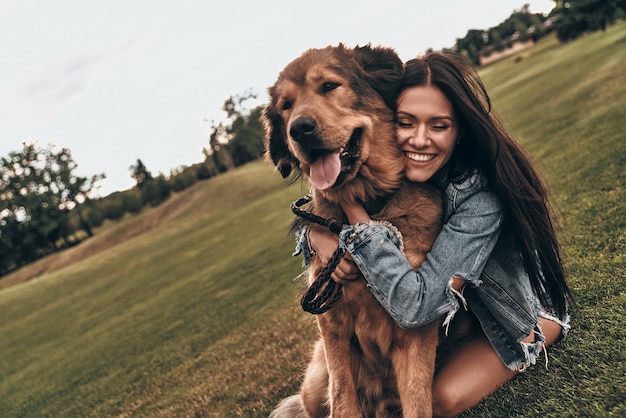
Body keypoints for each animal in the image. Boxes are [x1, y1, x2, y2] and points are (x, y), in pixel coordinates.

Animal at [264, 44, 444, 416]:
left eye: (330, 86)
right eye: (286, 106)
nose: (299, 129)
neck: (370, 207)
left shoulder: (417, 321)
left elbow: (417, 399)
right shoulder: (332, 325)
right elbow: (343, 397)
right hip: (314, 384)